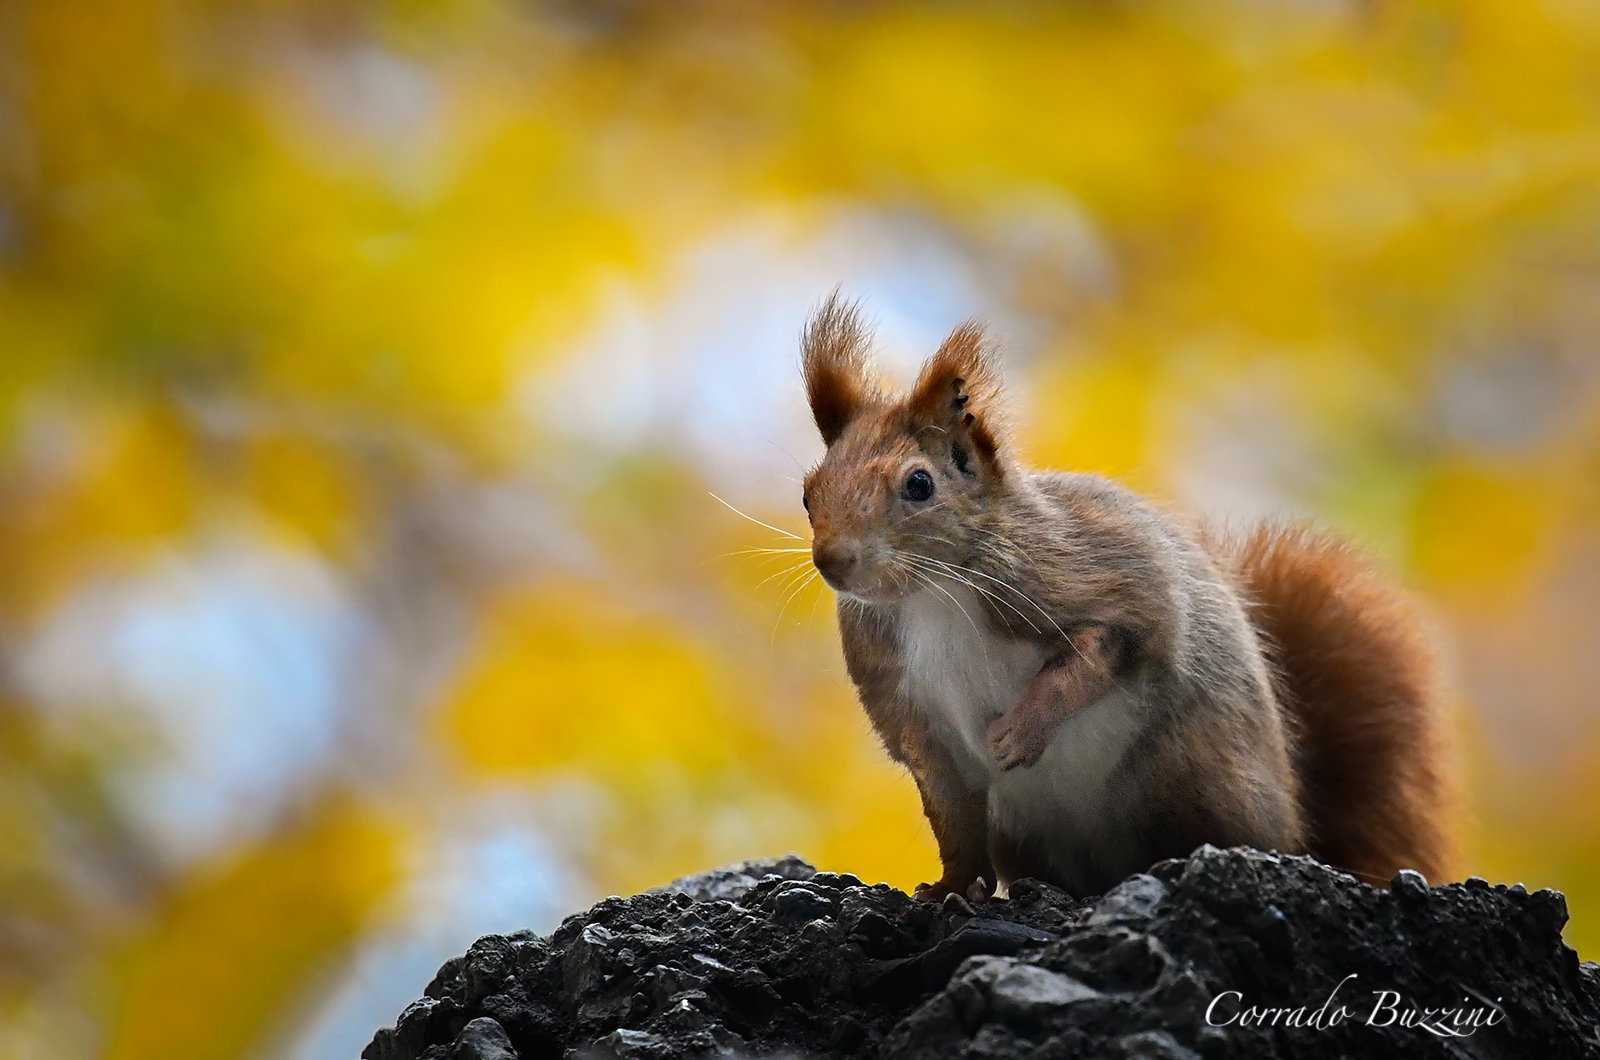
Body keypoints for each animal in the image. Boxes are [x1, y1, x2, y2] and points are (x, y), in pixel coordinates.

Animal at [797, 294, 1454, 902]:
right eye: (809, 492)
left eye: (919, 484)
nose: (833, 561)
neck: (933, 596)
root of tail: (1298, 831)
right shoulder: (910, 707)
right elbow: (952, 813)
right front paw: (950, 888)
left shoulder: (1098, 579)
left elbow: (1102, 651)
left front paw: (1019, 733)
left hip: (1189, 773)